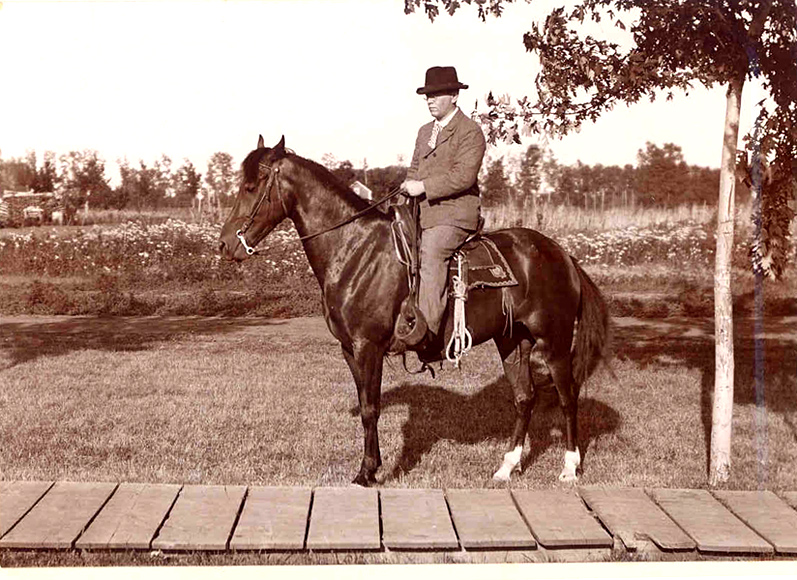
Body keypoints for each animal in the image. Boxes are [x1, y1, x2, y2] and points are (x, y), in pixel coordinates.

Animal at [218, 135, 608, 484]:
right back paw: (505, 468)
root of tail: (562, 254)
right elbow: (365, 405)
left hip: (554, 343)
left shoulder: (368, 348)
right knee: (525, 398)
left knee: (568, 398)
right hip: (513, 341)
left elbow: (370, 409)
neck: (354, 250)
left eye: (251, 186)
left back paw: (569, 470)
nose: (224, 245)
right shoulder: (349, 350)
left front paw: (367, 472)